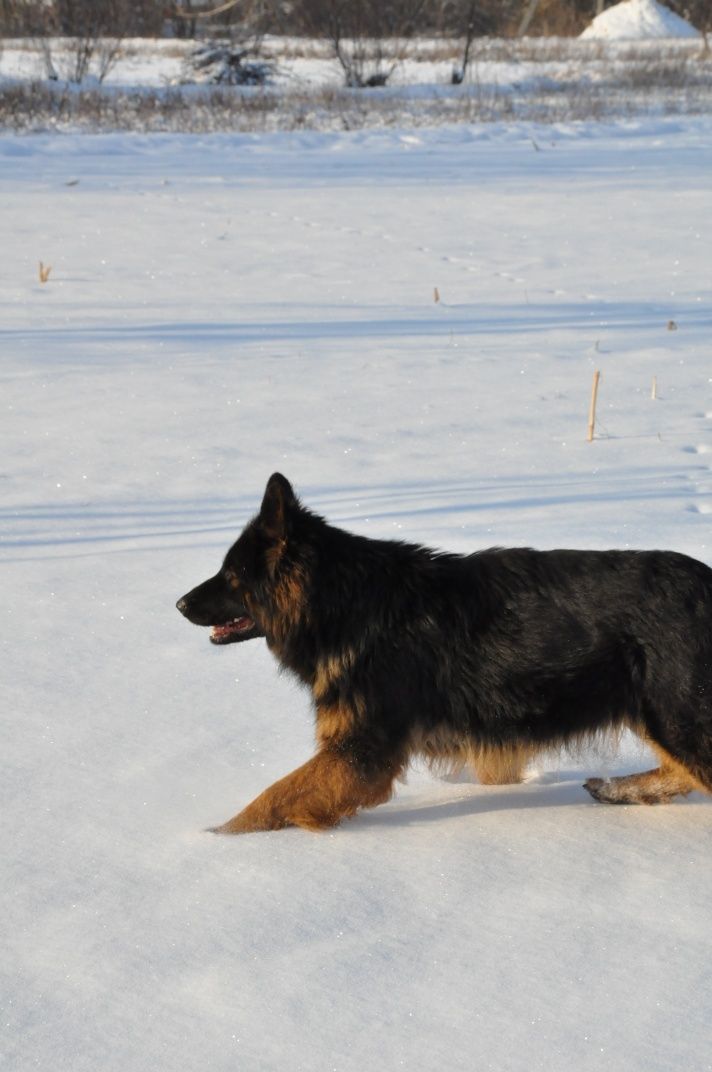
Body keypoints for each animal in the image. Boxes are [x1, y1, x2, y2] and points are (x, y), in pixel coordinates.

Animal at [176, 473, 711, 831]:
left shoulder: (361, 754)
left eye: (231, 576)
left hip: (676, 718)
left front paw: (215, 839)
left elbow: (270, 800)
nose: (179, 604)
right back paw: (618, 789)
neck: (342, 601)